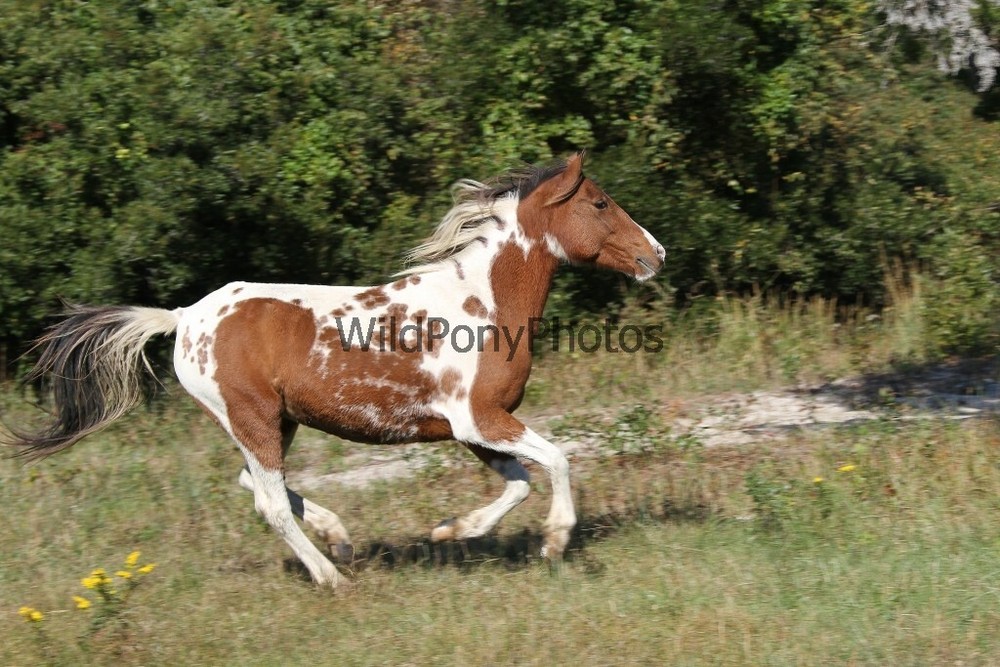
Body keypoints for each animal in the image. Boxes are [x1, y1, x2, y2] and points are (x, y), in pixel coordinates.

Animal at [4, 153, 664, 589]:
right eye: (600, 202)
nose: (654, 254)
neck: (484, 301)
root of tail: (185, 317)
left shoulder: (473, 429)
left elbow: (519, 482)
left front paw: (450, 531)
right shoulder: (478, 419)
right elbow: (557, 459)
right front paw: (555, 542)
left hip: (273, 422)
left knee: (256, 486)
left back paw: (341, 538)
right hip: (250, 417)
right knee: (269, 501)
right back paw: (330, 575)